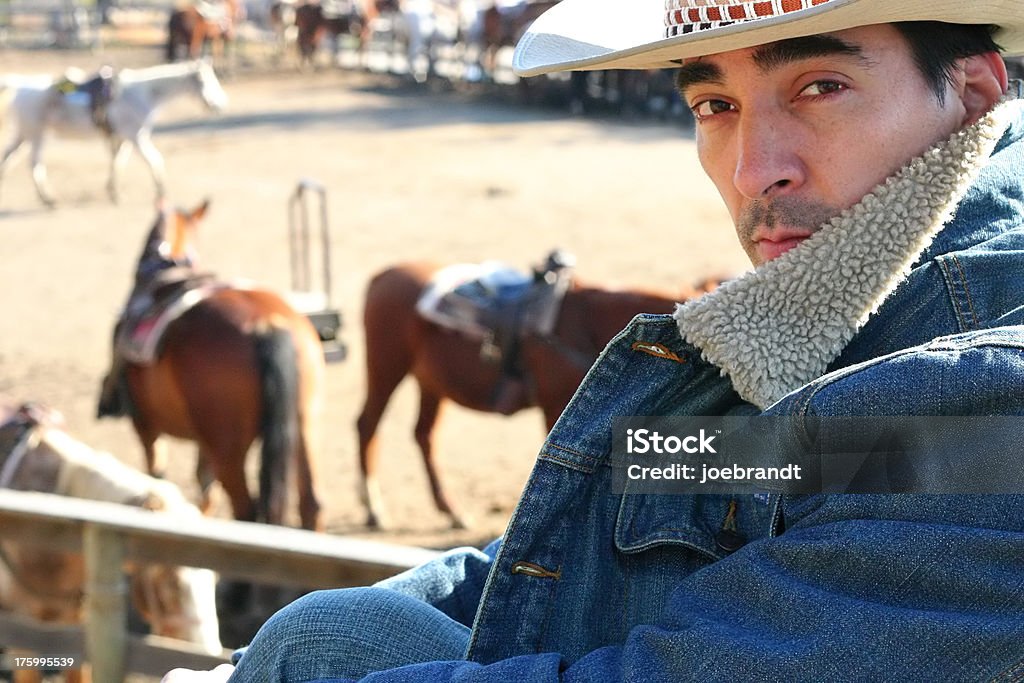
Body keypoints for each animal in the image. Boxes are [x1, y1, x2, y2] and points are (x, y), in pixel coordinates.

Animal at [0, 61, 228, 205]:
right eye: (205, 82)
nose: (221, 105)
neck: (140, 94)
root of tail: (21, 86)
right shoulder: (136, 137)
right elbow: (155, 160)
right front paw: (161, 193)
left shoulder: (123, 139)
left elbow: (118, 163)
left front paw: (114, 192)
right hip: (36, 135)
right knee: (35, 164)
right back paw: (48, 199)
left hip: (25, 134)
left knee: (9, 156)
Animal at [97, 200, 325, 532]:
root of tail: (267, 325)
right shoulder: (202, 439)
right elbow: (204, 488)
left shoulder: (145, 425)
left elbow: (158, 473)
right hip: (302, 424)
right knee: (311, 503)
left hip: (227, 444)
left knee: (246, 509)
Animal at [358, 262, 720, 528]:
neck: (585, 323)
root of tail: (383, 275)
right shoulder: (554, 407)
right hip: (386, 367)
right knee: (368, 424)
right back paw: (373, 506)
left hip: (431, 383)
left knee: (424, 435)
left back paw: (451, 510)